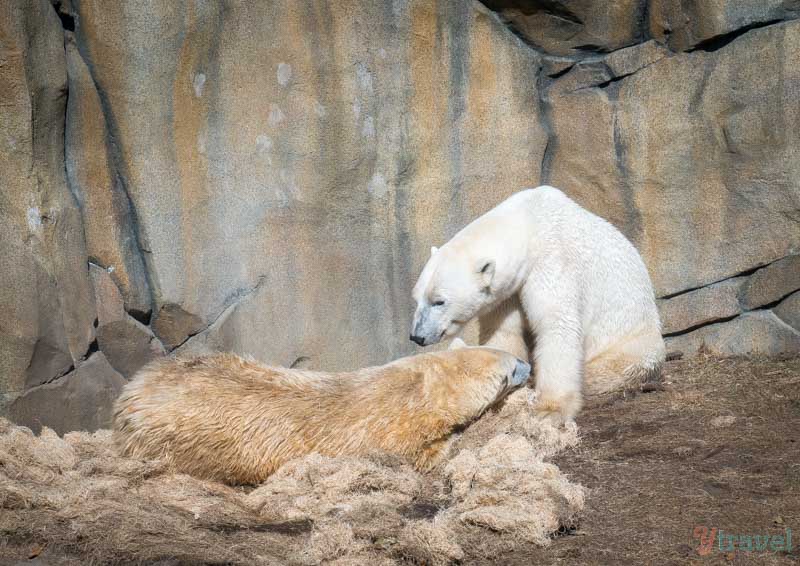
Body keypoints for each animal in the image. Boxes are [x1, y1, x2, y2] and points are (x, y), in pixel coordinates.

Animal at [410, 184, 664, 424]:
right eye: (417, 297)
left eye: (439, 301)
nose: (417, 336)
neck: (529, 224)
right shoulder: (508, 291)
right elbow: (503, 330)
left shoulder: (552, 262)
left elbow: (558, 325)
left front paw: (549, 409)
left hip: (634, 343)